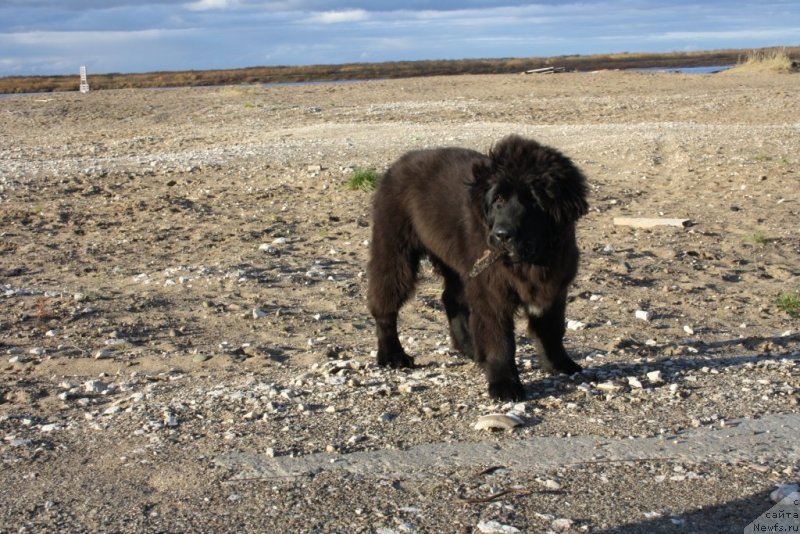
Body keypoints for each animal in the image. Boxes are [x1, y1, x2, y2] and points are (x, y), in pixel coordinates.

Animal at [368, 135, 588, 402]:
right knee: (385, 303)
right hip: (395, 253)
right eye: (498, 200)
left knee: (451, 299)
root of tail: (398, 164)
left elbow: (551, 330)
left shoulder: (553, 287)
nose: (501, 235)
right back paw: (393, 355)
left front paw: (560, 364)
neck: (530, 260)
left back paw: (470, 348)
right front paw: (504, 384)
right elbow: (500, 341)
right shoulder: (491, 291)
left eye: (533, 202)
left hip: (458, 264)